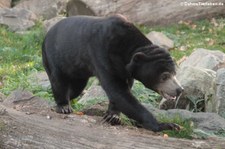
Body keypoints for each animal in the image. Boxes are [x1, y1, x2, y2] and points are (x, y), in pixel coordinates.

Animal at [41, 15, 183, 132]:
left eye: (175, 73)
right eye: (164, 76)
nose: (179, 90)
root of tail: (46, 36)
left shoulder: (125, 69)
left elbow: (122, 89)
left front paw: (112, 116)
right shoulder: (102, 53)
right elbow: (117, 90)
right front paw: (166, 125)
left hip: (77, 71)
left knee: (76, 88)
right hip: (54, 57)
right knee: (59, 80)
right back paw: (64, 106)